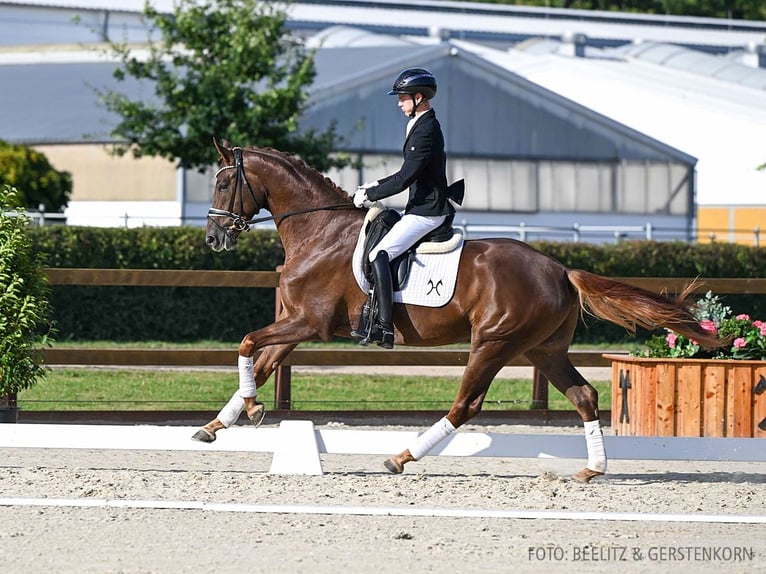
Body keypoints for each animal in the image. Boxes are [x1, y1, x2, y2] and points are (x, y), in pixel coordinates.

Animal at [200, 137, 728, 484]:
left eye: (225, 183)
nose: (213, 238)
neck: (319, 232)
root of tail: (560, 269)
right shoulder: (296, 324)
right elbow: (261, 363)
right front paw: (222, 422)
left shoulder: (308, 322)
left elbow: (247, 342)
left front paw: (248, 410)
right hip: (543, 350)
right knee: (583, 396)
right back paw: (591, 470)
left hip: (494, 342)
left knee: (465, 405)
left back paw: (401, 456)